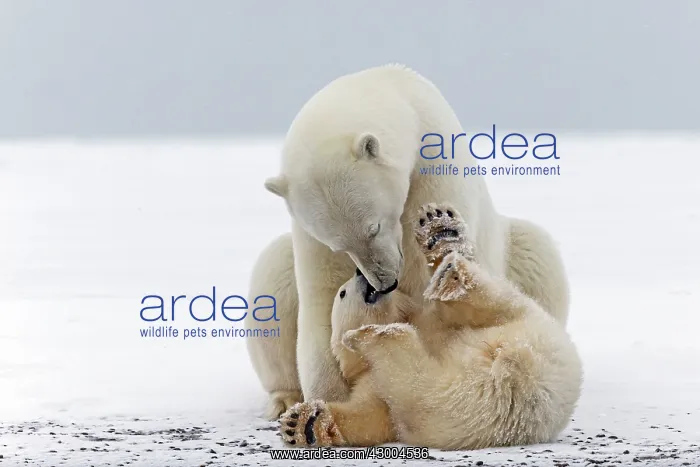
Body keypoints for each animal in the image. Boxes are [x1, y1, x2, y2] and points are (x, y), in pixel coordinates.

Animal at [245, 64, 570, 419]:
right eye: (338, 245)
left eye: (373, 227)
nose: (384, 282)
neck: (396, 89)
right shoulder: (309, 237)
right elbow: (323, 298)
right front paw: (325, 405)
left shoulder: (434, 169)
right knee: (272, 281)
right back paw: (284, 398)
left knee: (537, 255)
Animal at [278, 203, 583, 450]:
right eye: (342, 293)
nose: (358, 273)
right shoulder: (371, 381)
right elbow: (370, 417)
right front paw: (305, 423)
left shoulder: (429, 318)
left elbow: (446, 315)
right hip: (461, 405)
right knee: (419, 389)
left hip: (529, 320)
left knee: (492, 301)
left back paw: (444, 246)